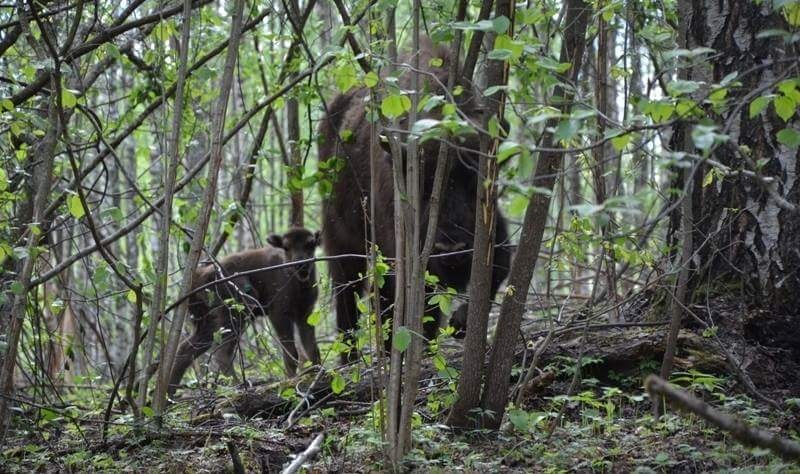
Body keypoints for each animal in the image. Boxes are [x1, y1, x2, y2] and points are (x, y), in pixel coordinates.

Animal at [169, 228, 322, 394]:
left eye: (311, 244)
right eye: (286, 247)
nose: (301, 264)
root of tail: (197, 278)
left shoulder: (305, 313)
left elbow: (312, 349)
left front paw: (317, 373)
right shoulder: (279, 313)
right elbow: (291, 351)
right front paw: (291, 381)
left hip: (207, 321)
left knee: (186, 349)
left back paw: (168, 394)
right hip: (238, 310)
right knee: (222, 352)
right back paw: (238, 386)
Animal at [318, 40, 510, 362]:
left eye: (477, 178)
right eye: (422, 186)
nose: (452, 249)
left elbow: (499, 271)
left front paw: (460, 325)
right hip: (343, 243)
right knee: (349, 295)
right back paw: (353, 358)